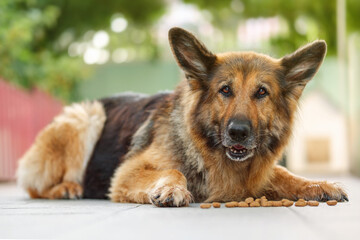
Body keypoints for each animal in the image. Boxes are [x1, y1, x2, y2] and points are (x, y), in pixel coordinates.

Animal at [16, 26, 346, 206]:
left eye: (262, 92)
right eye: (225, 90)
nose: (238, 132)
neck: (207, 150)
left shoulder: (256, 175)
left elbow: (285, 174)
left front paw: (318, 185)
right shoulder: (126, 173)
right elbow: (173, 171)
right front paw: (171, 188)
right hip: (86, 115)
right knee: (34, 187)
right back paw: (66, 188)